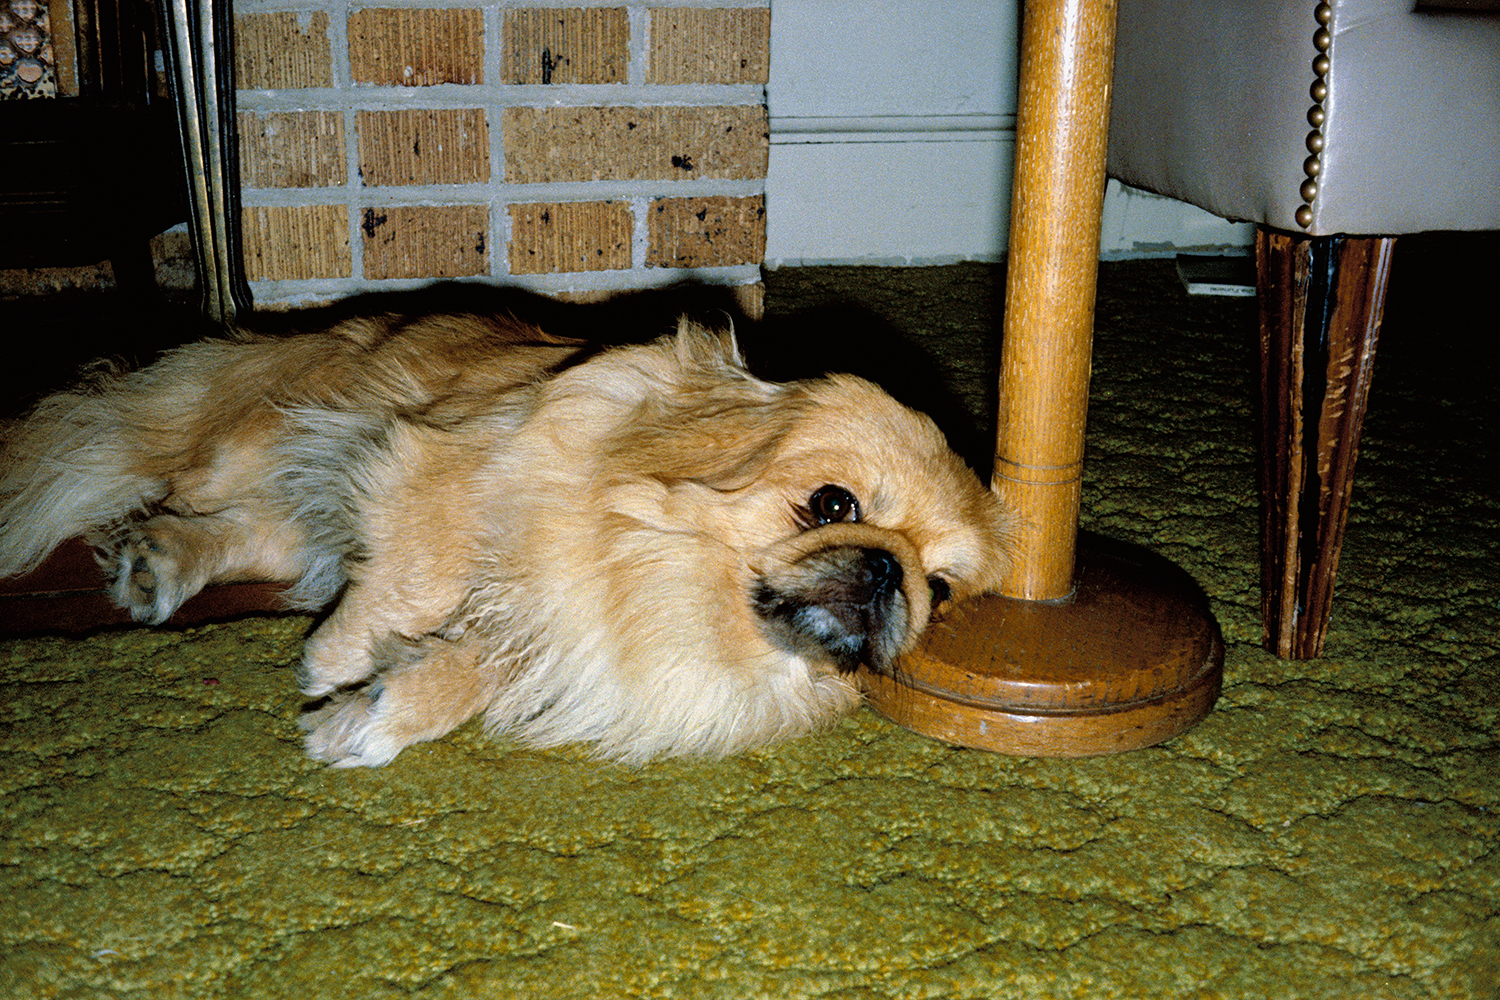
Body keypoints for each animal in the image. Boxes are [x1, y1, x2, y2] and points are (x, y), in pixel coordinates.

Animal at [0, 314, 1014, 767]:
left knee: (257, 533)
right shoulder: (437, 462)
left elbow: (462, 666)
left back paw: (159, 565)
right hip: (260, 442)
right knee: (173, 483)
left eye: (942, 591)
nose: (889, 572)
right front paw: (337, 662)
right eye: (834, 505)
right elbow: (409, 583)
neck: (667, 581)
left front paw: (368, 716)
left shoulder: (549, 631)